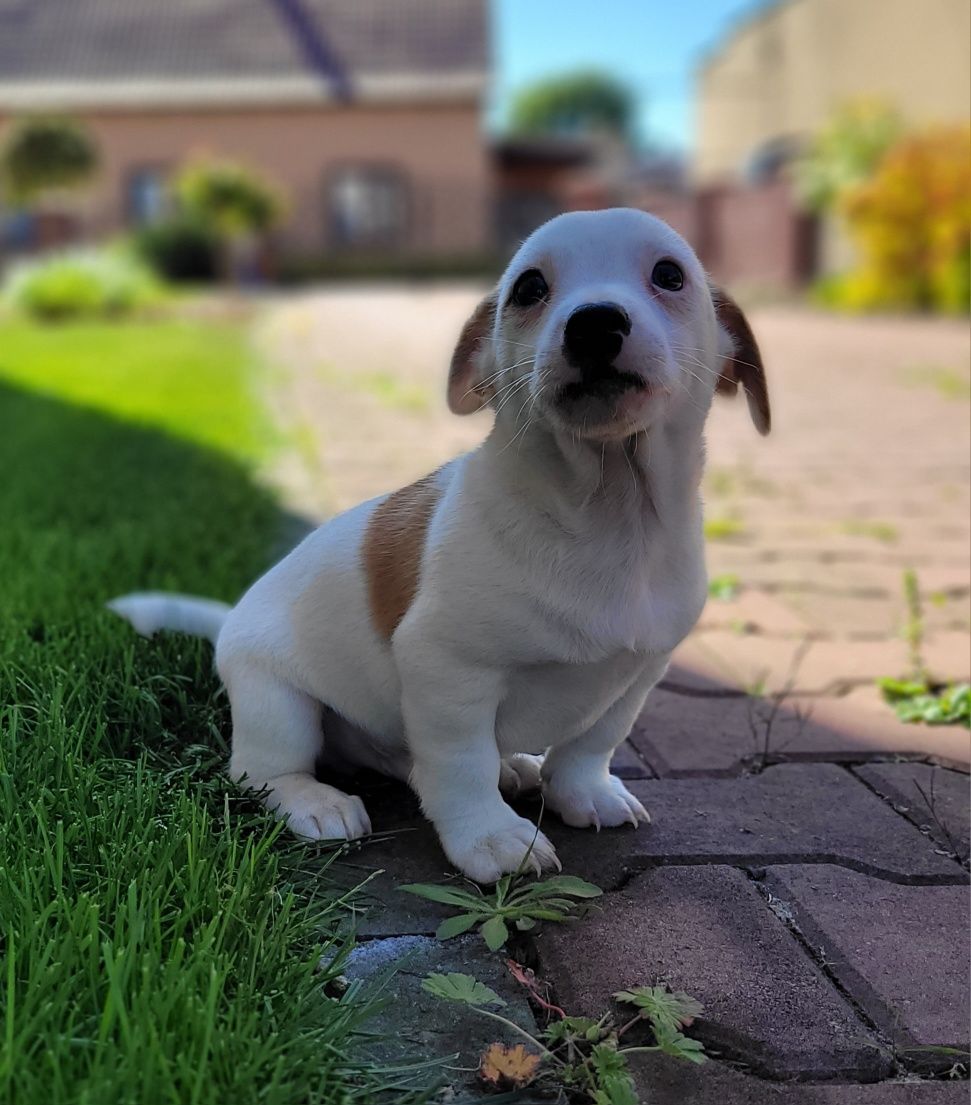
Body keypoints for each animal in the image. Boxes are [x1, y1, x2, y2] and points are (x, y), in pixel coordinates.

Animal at [109, 205, 768, 879]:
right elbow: (461, 763)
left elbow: (590, 745)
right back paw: (315, 801)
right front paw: (489, 836)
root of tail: (231, 621)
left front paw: (582, 793)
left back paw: (512, 766)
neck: (604, 517)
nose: (594, 324)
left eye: (670, 275)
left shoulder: (637, 677)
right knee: (263, 770)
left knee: (406, 760)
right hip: (278, 704)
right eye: (529, 288)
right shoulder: (448, 670)